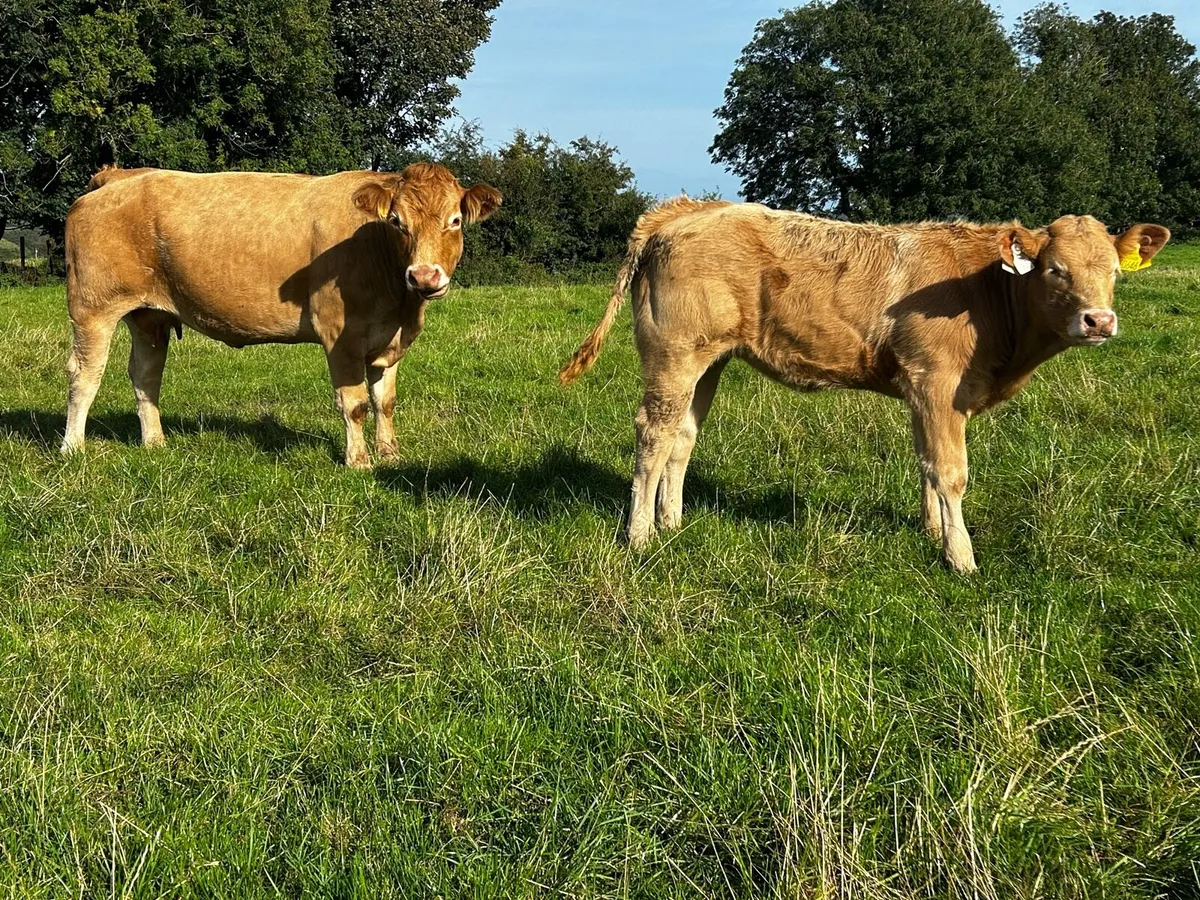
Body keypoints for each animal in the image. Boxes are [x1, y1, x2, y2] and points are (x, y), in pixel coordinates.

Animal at [62, 163, 501, 468]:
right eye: (397, 222)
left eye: (455, 221)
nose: (424, 276)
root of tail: (120, 176)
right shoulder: (340, 336)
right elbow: (355, 403)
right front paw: (358, 461)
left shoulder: (389, 341)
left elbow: (385, 401)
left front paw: (390, 454)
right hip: (93, 308)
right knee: (84, 375)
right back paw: (72, 447)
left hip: (148, 316)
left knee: (145, 376)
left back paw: (155, 442)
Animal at [559, 199, 1169, 572]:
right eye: (1054, 269)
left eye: (1115, 271)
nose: (1099, 321)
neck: (989, 296)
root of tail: (687, 209)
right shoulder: (938, 382)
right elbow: (950, 472)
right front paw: (961, 557)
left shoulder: (927, 392)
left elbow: (926, 464)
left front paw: (932, 533)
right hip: (675, 355)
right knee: (652, 434)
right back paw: (640, 535)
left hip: (710, 360)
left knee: (681, 438)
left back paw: (672, 522)